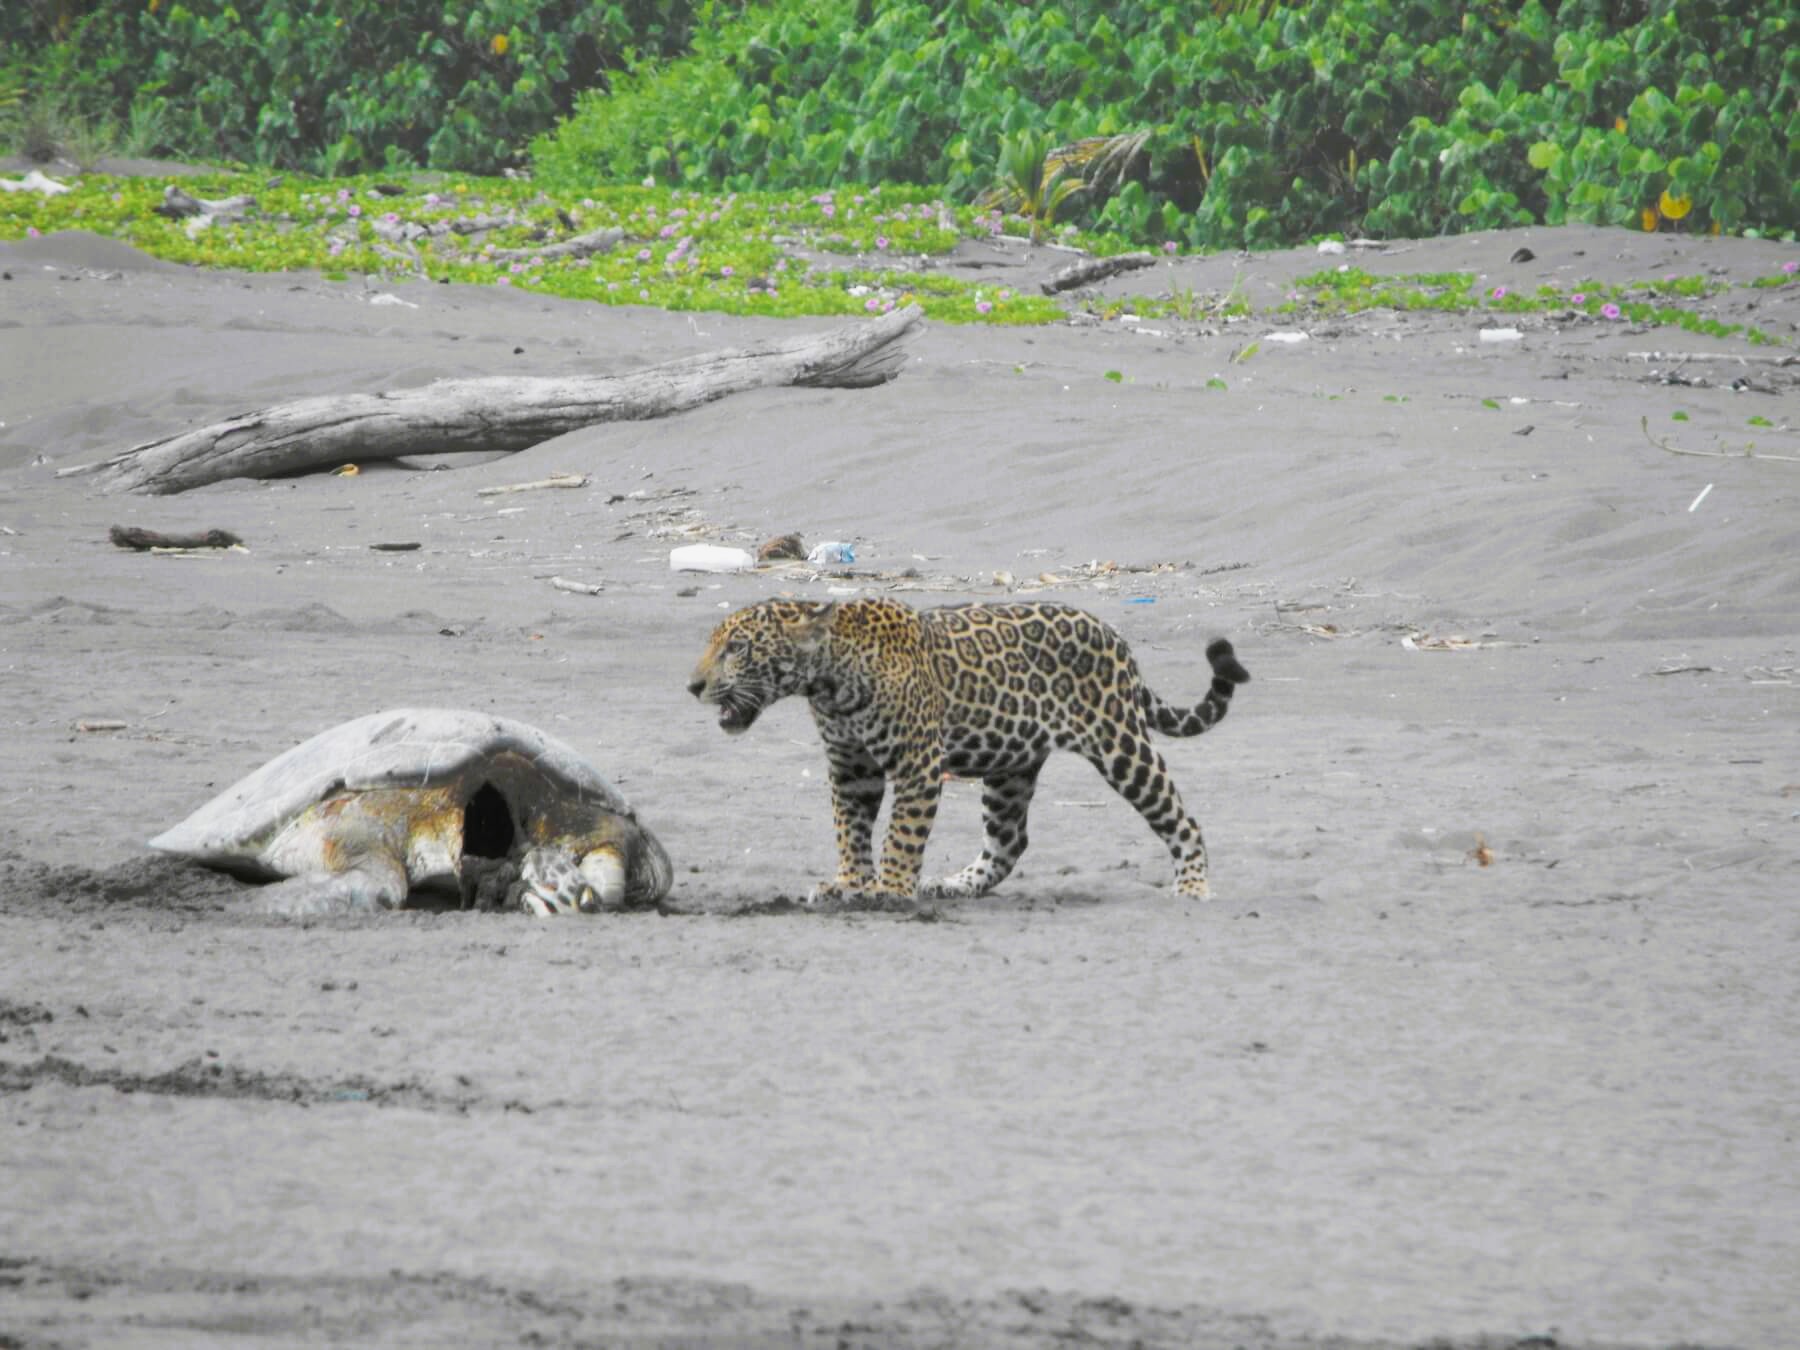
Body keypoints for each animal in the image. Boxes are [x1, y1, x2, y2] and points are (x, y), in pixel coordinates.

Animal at [687, 596, 1250, 902]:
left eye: (736, 648)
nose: (693, 686)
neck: (828, 681)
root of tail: (1116, 637)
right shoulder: (851, 767)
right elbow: (850, 830)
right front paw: (847, 883)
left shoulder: (917, 763)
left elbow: (901, 834)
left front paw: (889, 889)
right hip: (1010, 764)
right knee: (1009, 841)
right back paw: (956, 885)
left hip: (1120, 745)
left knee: (1181, 818)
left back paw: (1193, 886)